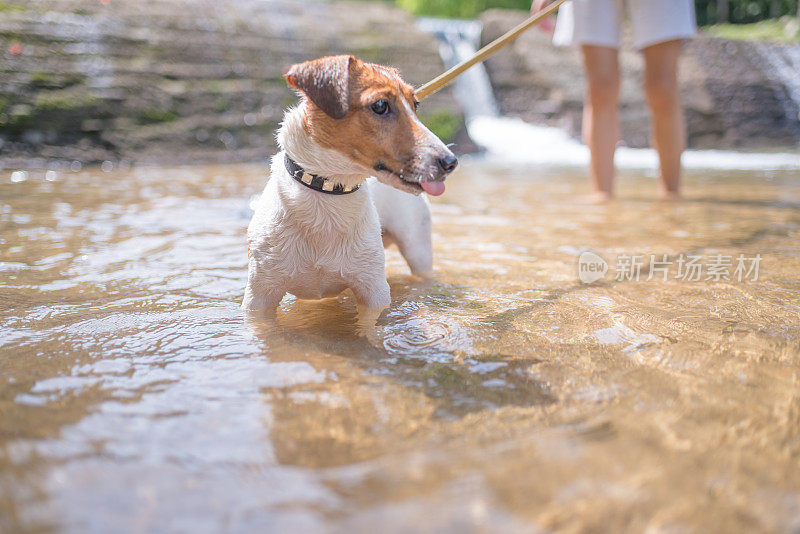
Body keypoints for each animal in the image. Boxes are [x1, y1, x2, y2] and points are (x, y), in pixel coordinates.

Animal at [242, 54, 456, 314]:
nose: (451, 162)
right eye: (380, 105)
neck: (328, 192)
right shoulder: (260, 294)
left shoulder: (373, 290)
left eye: (415, 105)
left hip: (418, 248)